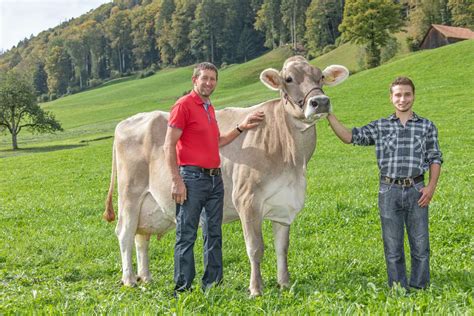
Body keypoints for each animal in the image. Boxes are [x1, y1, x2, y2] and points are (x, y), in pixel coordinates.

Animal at [104, 56, 348, 296]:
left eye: (321, 76)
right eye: (288, 79)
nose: (320, 101)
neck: (292, 159)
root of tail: (127, 121)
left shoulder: (284, 202)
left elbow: (282, 247)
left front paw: (285, 283)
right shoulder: (247, 199)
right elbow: (255, 247)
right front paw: (256, 289)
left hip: (149, 206)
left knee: (141, 237)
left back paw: (145, 277)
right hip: (130, 195)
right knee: (124, 233)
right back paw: (129, 279)